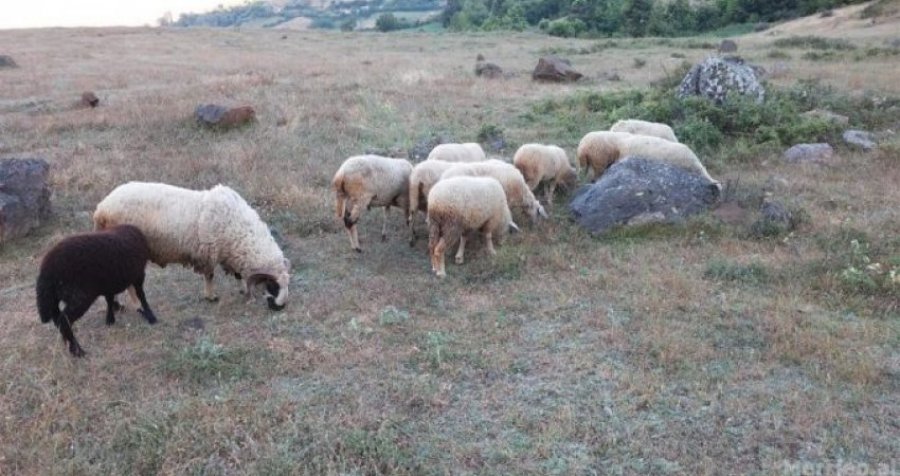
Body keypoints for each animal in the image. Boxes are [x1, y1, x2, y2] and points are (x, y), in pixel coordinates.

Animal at [36, 225, 158, 356]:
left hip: (53, 300)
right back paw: (78, 351)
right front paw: (151, 316)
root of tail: (47, 272)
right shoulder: (139, 274)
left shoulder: (108, 283)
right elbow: (141, 295)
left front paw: (110, 319)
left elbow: (109, 298)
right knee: (64, 320)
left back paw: (71, 347)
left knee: (58, 321)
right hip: (80, 297)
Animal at [92, 181, 290, 308]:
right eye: (274, 285)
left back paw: (117, 304)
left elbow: (238, 275)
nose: (280, 306)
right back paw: (137, 305)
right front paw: (211, 297)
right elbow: (210, 276)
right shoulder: (209, 252)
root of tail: (101, 209)